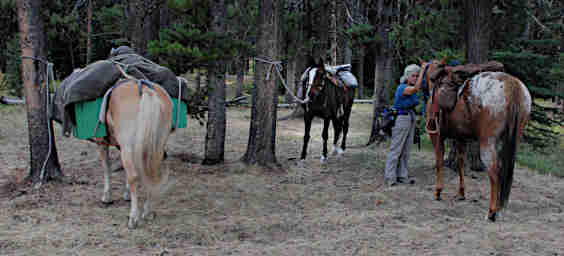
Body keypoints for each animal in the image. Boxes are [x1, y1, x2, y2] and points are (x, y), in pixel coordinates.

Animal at [98, 78, 175, 228]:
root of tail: (145, 89)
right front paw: (126, 194)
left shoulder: (102, 144)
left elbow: (106, 168)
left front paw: (107, 197)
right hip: (157, 145)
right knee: (152, 174)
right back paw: (148, 211)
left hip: (128, 146)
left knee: (134, 176)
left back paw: (134, 218)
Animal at [426, 59, 532, 221]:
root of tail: (513, 86)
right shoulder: (460, 138)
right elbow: (461, 164)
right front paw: (461, 193)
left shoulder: (436, 136)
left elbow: (439, 163)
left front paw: (438, 191)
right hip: (512, 140)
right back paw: (498, 207)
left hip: (487, 142)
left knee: (494, 172)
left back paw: (492, 212)